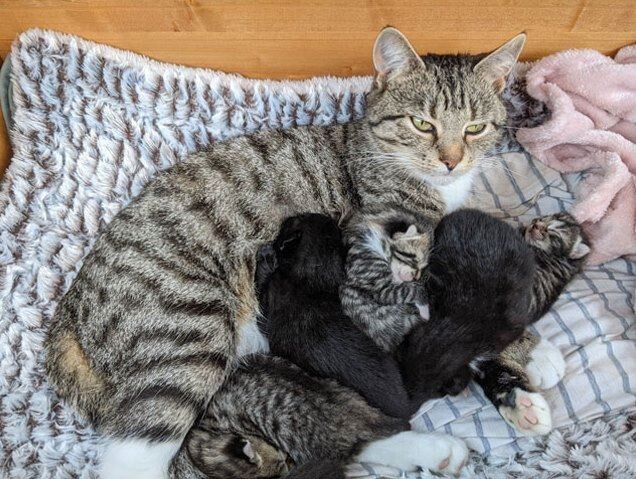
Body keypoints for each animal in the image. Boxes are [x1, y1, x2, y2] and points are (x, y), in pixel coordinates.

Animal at [340, 208, 434, 354]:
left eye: (422, 268)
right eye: (413, 257)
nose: (415, 277)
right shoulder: (382, 289)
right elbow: (413, 290)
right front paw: (425, 310)